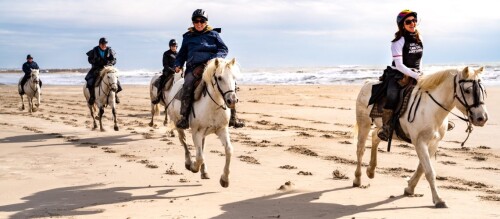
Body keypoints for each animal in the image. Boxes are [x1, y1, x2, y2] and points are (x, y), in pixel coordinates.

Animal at [167, 57, 239, 187]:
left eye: (234, 77)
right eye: (219, 78)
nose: (232, 100)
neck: (213, 106)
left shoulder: (222, 130)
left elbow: (228, 150)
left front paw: (225, 179)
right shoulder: (196, 132)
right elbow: (199, 157)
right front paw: (193, 167)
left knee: (201, 147)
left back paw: (204, 172)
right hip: (178, 124)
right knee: (183, 141)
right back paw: (188, 162)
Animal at [352, 66, 488, 207]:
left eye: (484, 91)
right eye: (467, 90)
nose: (482, 118)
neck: (431, 109)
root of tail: (367, 83)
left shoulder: (433, 143)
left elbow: (422, 168)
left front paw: (410, 188)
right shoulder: (420, 143)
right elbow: (429, 171)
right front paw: (438, 199)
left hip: (384, 130)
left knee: (375, 136)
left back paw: (371, 171)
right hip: (364, 124)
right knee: (360, 149)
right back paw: (357, 179)